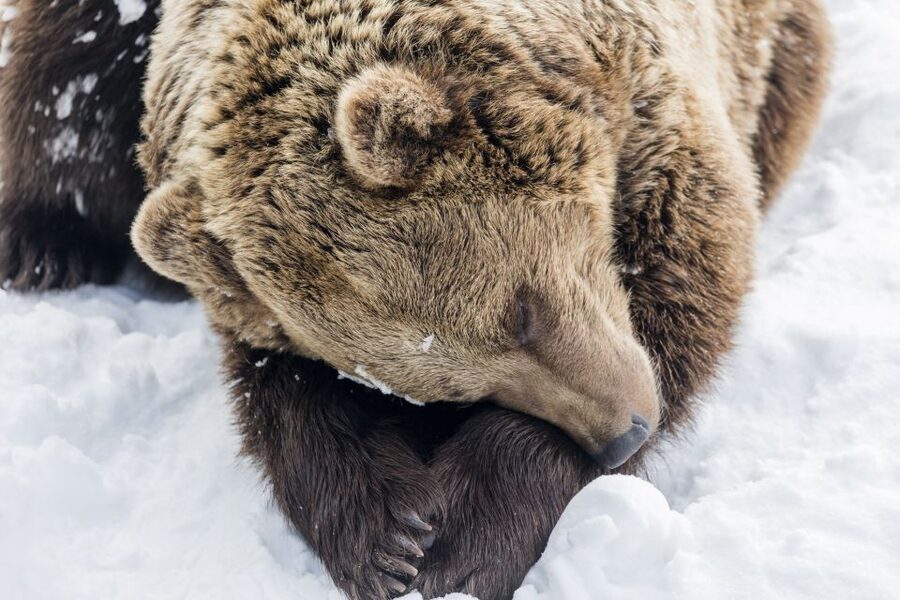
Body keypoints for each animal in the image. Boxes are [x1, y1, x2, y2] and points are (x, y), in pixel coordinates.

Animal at [0, 1, 832, 599]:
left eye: (522, 309)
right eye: (441, 389)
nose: (623, 432)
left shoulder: (662, 113)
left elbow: (684, 285)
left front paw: (465, 537)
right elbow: (279, 383)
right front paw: (388, 536)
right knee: (64, 76)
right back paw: (42, 244)